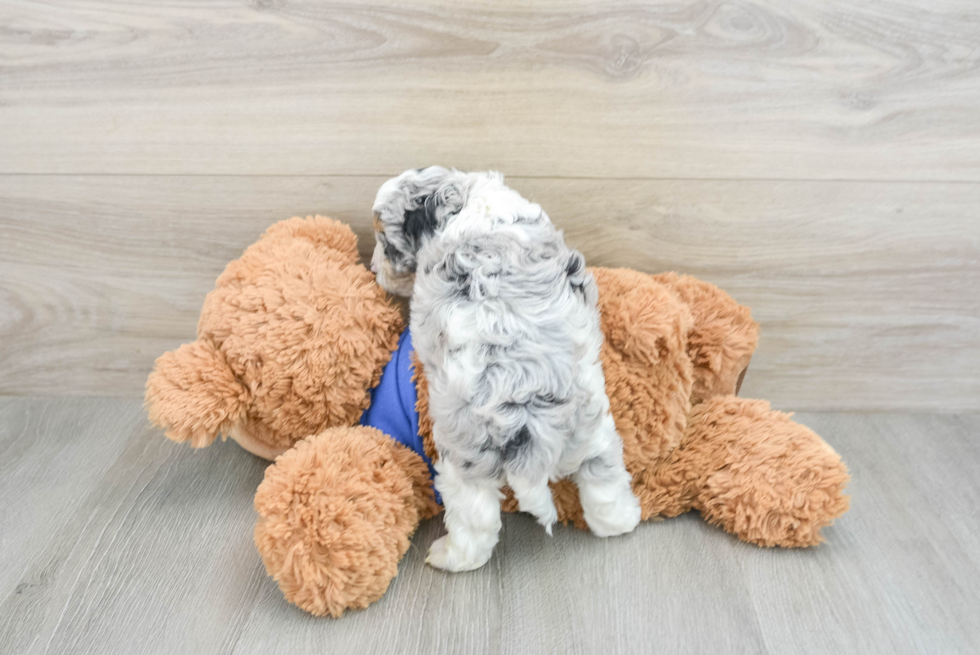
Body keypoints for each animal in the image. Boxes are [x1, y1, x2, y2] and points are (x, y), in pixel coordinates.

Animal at [372, 167, 640, 572]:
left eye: (384, 240)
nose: (373, 269)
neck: (462, 199)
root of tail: (529, 428)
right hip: (593, 434)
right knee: (604, 485)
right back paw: (624, 519)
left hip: (463, 461)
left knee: (475, 523)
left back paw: (447, 557)